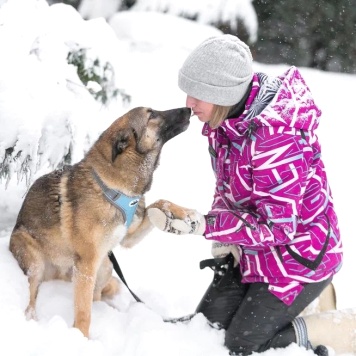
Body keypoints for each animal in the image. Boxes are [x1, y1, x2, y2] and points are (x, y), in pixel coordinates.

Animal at [8, 105, 191, 336]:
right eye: (152, 114)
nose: (189, 109)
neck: (113, 187)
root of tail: (57, 273)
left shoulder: (126, 239)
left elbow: (158, 203)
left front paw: (183, 216)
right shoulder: (87, 263)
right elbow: (84, 313)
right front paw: (81, 339)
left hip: (104, 265)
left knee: (96, 295)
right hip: (37, 264)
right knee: (33, 298)